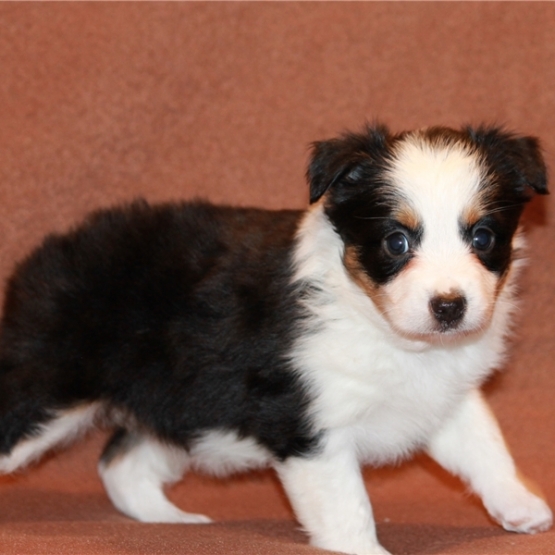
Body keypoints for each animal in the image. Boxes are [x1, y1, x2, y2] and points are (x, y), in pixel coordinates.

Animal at [0, 124, 552, 552]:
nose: (450, 306)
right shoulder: (307, 424)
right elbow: (347, 506)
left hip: (183, 402)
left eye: (482, 237)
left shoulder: (444, 394)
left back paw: (172, 522)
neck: (386, 329)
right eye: (396, 242)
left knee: (120, 462)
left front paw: (523, 509)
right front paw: (364, 549)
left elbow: (485, 446)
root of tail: (52, 250)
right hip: (44, 384)